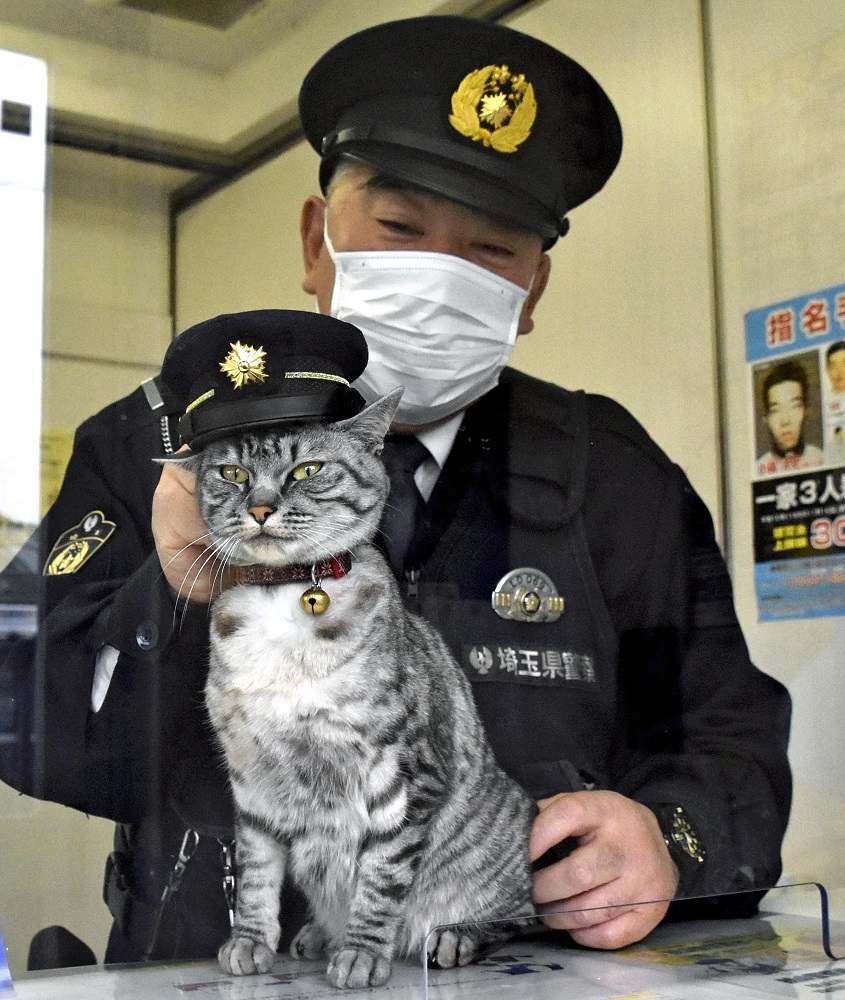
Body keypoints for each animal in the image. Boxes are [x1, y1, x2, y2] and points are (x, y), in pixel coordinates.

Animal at [166, 388, 536, 984]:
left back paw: (454, 936)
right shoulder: (251, 780)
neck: (281, 603)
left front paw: (363, 952)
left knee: (519, 915)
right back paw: (319, 934)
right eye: (233, 473)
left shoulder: (405, 776)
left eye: (307, 469)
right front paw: (249, 941)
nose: (260, 508)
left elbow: (381, 877)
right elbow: (256, 872)